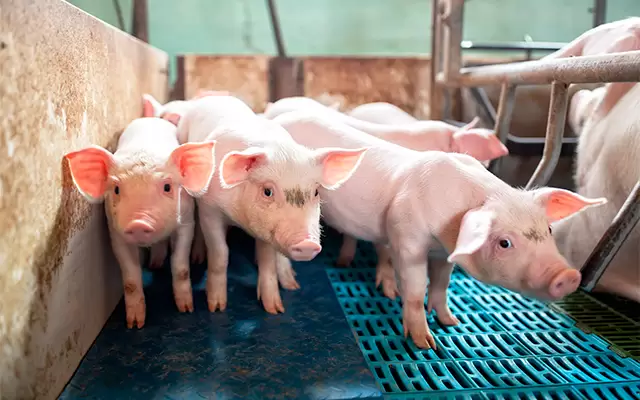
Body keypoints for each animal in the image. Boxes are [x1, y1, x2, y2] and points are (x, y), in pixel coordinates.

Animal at [64, 116, 217, 328]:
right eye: (117, 189)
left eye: (167, 186)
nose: (138, 222)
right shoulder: (115, 232)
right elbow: (130, 280)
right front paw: (135, 325)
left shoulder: (186, 222)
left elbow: (181, 267)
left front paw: (186, 309)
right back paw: (155, 264)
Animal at [170, 95, 367, 314]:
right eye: (267, 191)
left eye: (316, 191)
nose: (307, 244)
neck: (239, 218)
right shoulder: (209, 209)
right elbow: (221, 253)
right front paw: (217, 307)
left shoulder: (265, 228)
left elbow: (267, 261)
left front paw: (276, 309)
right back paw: (198, 258)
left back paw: (291, 283)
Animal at [272, 110, 606, 349]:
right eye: (504, 243)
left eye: (548, 229)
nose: (568, 275)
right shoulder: (407, 238)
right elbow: (415, 287)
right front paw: (425, 343)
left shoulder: (444, 251)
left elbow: (442, 284)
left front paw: (451, 323)